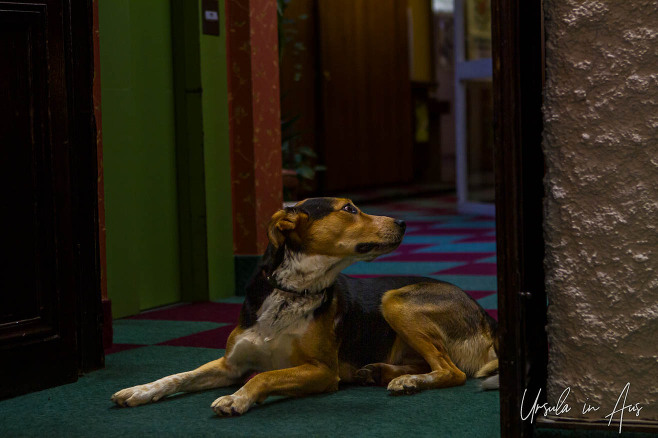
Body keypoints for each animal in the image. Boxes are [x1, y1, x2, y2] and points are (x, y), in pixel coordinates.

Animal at [110, 197, 494, 416]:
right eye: (349, 209)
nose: (403, 222)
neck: (293, 291)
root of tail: (486, 315)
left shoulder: (322, 370)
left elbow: (265, 375)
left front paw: (237, 399)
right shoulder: (229, 365)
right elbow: (177, 377)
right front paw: (139, 391)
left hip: (395, 299)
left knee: (452, 371)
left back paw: (408, 381)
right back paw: (381, 372)